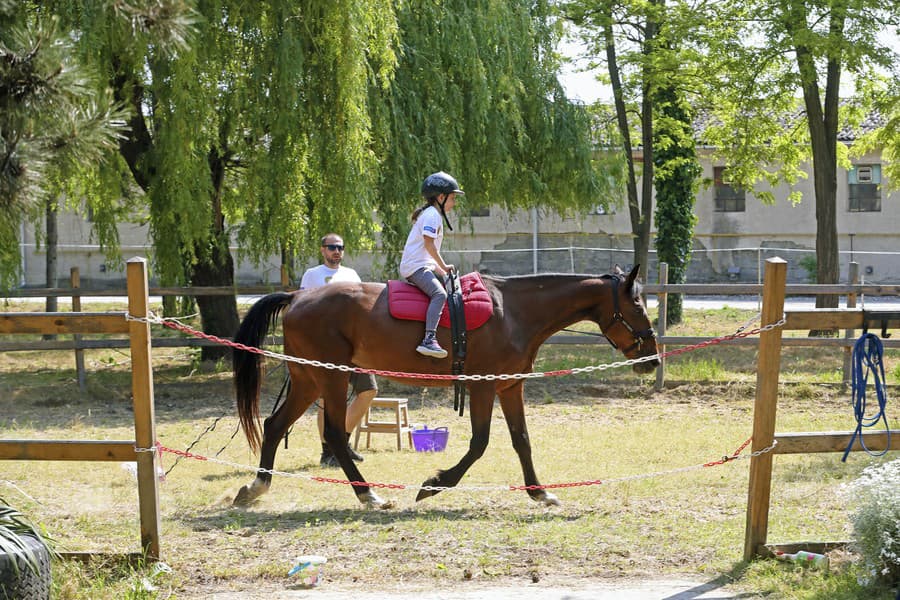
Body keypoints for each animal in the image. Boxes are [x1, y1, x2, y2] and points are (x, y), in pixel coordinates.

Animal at [229, 266, 656, 506]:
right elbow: (480, 443)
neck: (514, 310)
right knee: (333, 432)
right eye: (636, 305)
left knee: (275, 425)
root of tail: (298, 295)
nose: (651, 358)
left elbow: (522, 441)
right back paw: (368, 494)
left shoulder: (509, 387)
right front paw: (435, 484)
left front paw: (539, 491)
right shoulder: (484, 386)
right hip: (332, 377)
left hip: (309, 379)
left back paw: (256, 487)